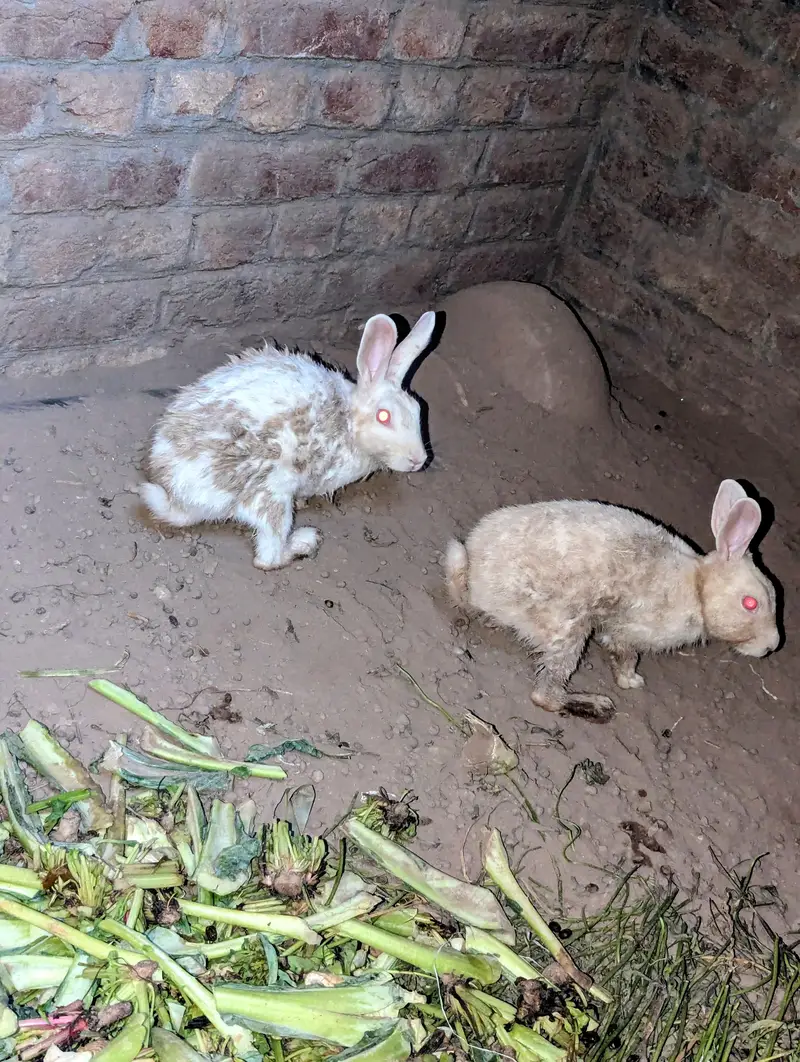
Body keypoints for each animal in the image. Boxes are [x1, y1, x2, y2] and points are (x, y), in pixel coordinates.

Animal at [140, 310, 437, 570]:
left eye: (417, 409)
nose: (418, 460)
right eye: (384, 416)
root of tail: (179, 499)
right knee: (268, 558)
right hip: (272, 494)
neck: (348, 421)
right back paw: (304, 541)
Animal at [444, 480, 779, 722]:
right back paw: (596, 704)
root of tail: (472, 581)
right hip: (569, 627)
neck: (698, 589)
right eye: (750, 604)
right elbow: (626, 656)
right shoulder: (627, 632)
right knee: (545, 694)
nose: (772, 646)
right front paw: (632, 682)